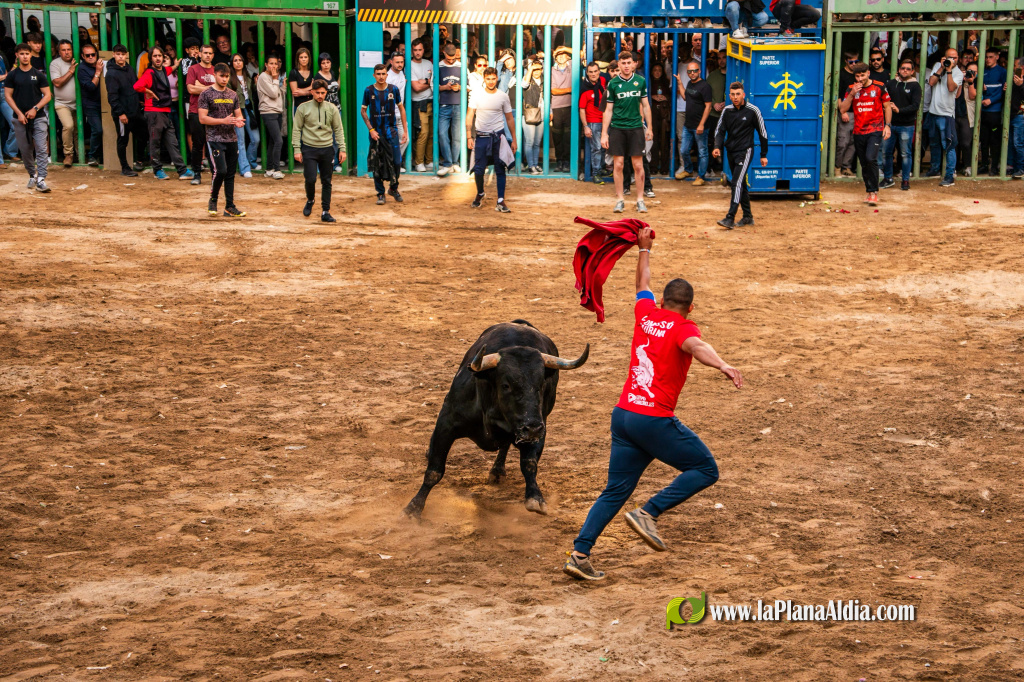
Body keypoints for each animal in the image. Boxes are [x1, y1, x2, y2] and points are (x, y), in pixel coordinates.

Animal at [403, 320, 589, 518]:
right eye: (506, 385)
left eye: (540, 385)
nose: (532, 428)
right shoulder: (446, 423)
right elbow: (434, 470)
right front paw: (413, 508)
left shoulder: (540, 427)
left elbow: (529, 464)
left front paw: (535, 497)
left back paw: (497, 470)